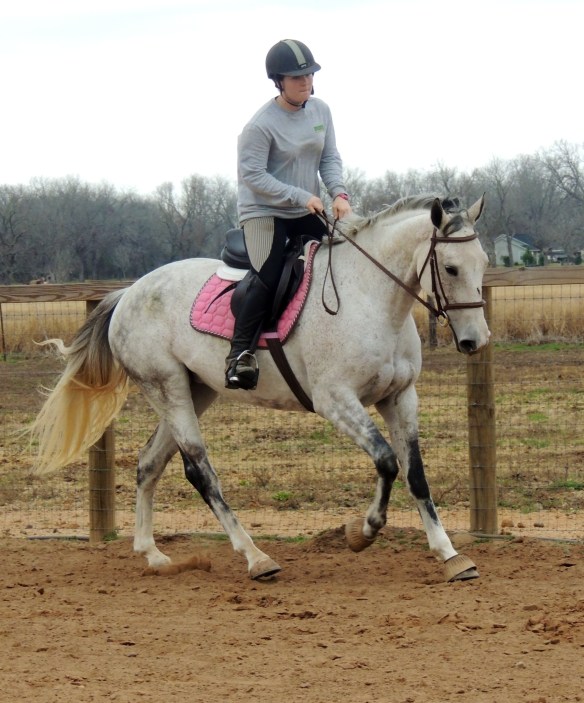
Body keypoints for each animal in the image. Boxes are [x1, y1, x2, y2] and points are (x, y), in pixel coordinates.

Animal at [30, 194, 490, 582]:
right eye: (451, 268)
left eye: (484, 263)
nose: (475, 341)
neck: (370, 298)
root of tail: (129, 292)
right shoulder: (336, 401)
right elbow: (387, 461)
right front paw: (364, 531)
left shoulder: (400, 397)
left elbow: (415, 475)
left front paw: (450, 555)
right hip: (167, 388)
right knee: (200, 471)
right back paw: (255, 557)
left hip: (195, 391)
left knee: (149, 463)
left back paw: (153, 554)